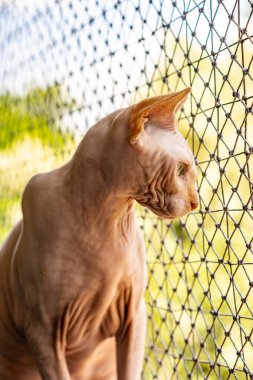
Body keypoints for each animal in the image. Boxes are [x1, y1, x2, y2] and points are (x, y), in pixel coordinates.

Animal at [0, 87, 198, 380]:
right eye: (182, 169)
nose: (196, 203)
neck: (107, 223)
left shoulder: (135, 314)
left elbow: (130, 371)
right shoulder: (42, 331)